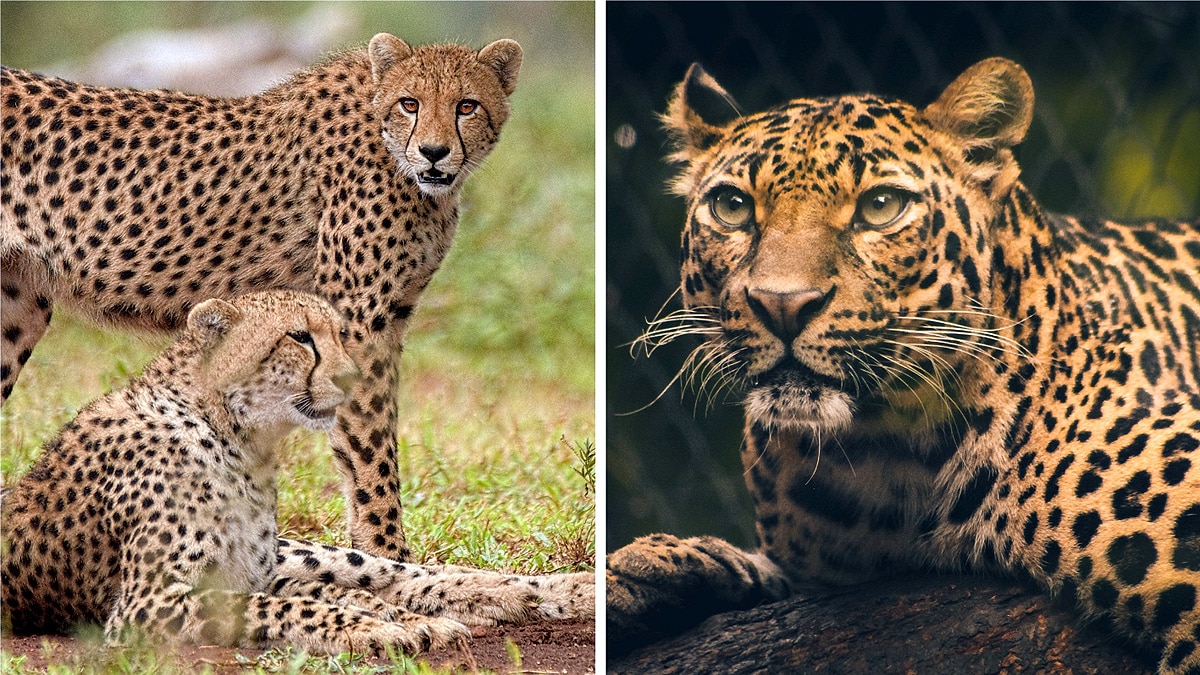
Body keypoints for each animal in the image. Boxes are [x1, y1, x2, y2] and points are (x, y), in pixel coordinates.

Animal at [0, 32, 523, 561]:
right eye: (409, 103)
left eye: (466, 106)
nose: (434, 152)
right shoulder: (359, 324)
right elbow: (371, 448)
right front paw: (387, 550)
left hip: (17, 308)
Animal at [0, 290, 592, 654]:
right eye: (299, 337)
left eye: (338, 334)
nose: (353, 377)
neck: (238, 438)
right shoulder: (149, 604)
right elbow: (281, 607)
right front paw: (379, 630)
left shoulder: (247, 571)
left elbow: (297, 598)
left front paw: (388, 624)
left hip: (297, 551)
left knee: (396, 570)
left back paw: (566, 590)